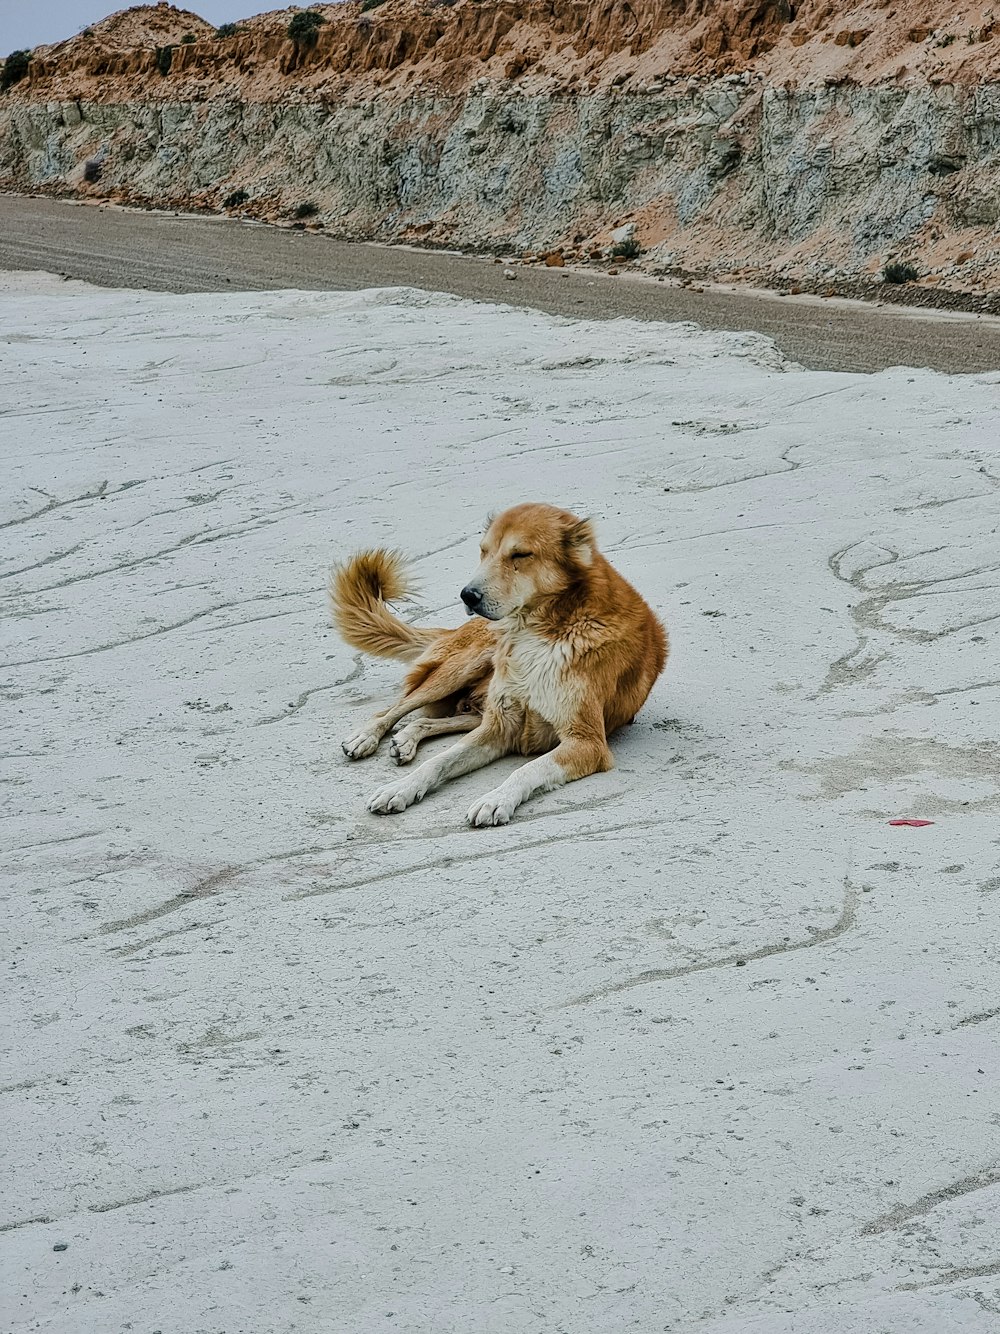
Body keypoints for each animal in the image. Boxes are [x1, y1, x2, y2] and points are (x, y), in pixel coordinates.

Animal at [333, 501, 669, 821]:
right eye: (483, 551)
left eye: (520, 554)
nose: (467, 596)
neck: (545, 628)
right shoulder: (499, 727)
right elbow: (439, 761)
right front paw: (400, 789)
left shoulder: (586, 742)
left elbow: (526, 769)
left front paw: (495, 800)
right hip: (463, 668)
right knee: (394, 708)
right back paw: (366, 737)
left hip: (479, 707)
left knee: (427, 719)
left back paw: (405, 740)